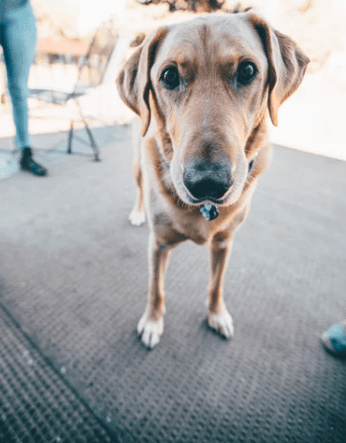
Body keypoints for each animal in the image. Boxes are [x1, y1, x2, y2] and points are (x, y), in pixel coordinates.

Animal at [115, 10, 308, 348]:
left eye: (247, 70)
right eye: (169, 76)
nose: (207, 182)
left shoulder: (224, 243)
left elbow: (216, 284)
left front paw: (217, 314)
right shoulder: (158, 245)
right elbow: (156, 289)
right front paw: (152, 322)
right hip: (138, 164)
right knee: (140, 189)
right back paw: (138, 213)